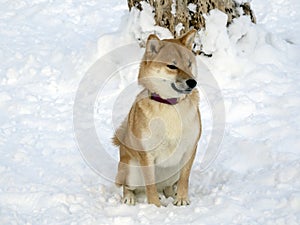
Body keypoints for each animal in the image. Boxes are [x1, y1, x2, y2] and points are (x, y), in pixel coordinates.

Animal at [112, 29, 202, 207]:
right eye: (172, 66)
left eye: (189, 64)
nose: (192, 82)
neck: (170, 105)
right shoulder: (147, 155)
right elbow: (150, 185)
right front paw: (155, 206)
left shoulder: (190, 149)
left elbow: (185, 179)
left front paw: (182, 199)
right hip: (131, 170)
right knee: (128, 186)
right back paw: (130, 198)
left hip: (173, 172)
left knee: (167, 186)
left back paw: (171, 194)